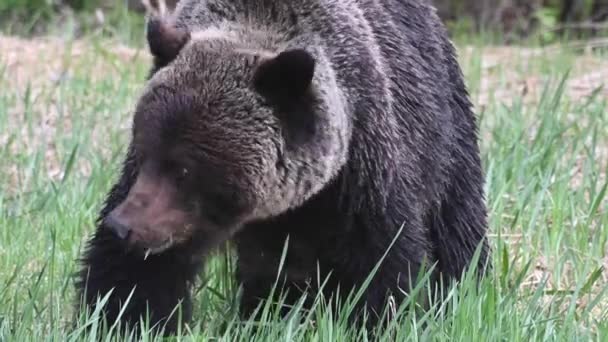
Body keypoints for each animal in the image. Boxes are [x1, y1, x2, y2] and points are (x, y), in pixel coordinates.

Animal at [76, 0, 492, 334]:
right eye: (145, 151)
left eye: (184, 169)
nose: (123, 226)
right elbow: (136, 277)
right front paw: (120, 318)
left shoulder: (357, 179)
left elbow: (380, 266)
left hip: (444, 130)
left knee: (458, 228)